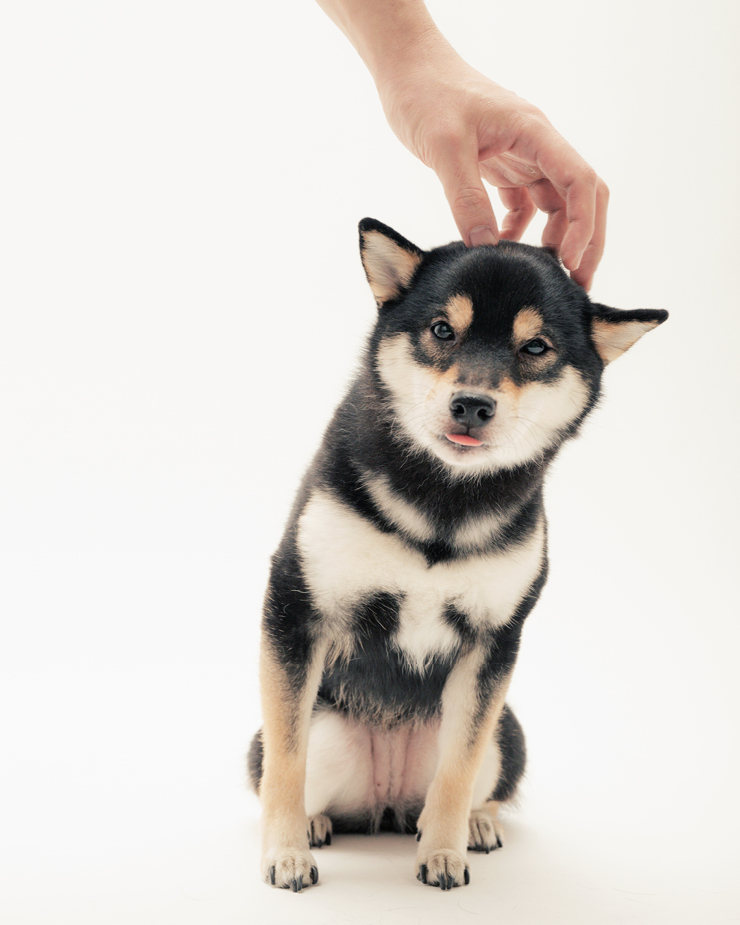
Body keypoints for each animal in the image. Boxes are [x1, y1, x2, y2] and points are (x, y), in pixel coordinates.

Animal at [247, 218, 667, 891]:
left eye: (536, 347)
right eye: (444, 329)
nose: (472, 403)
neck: (444, 500)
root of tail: (387, 799)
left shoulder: (493, 642)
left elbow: (459, 768)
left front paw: (443, 852)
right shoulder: (295, 608)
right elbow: (286, 764)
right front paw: (284, 853)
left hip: (507, 732)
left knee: (476, 778)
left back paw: (475, 824)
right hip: (325, 728)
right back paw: (314, 825)